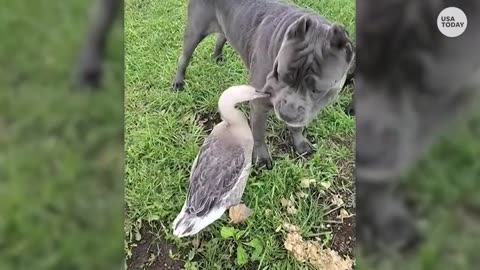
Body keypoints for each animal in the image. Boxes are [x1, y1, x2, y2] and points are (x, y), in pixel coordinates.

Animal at [172, 0, 352, 169]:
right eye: (279, 73)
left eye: (318, 89)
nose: (287, 113)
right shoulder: (259, 104)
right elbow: (258, 133)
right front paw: (261, 158)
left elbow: (296, 126)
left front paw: (300, 143)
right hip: (195, 30)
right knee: (184, 58)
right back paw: (178, 82)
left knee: (220, 37)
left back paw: (217, 57)